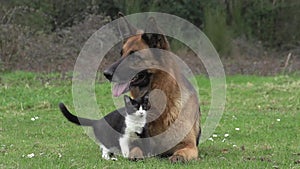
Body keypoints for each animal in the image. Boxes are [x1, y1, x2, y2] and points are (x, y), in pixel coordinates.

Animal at [103, 12, 202, 162]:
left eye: (134, 56)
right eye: (121, 53)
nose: (106, 73)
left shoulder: (190, 145)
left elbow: (183, 151)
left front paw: (178, 156)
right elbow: (135, 148)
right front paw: (135, 155)